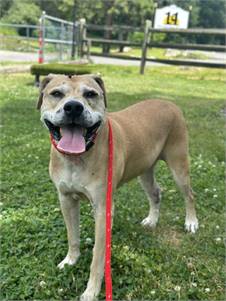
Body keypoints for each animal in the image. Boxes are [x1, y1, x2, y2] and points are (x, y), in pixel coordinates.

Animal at [36, 73, 198, 300]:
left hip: (179, 164)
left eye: (91, 94)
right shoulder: (66, 200)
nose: (74, 107)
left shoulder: (103, 209)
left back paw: (191, 222)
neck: (78, 158)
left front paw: (91, 291)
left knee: (189, 195)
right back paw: (152, 220)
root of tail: (168, 102)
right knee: (156, 193)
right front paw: (70, 260)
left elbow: (97, 256)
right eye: (56, 93)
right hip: (144, 170)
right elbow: (72, 235)